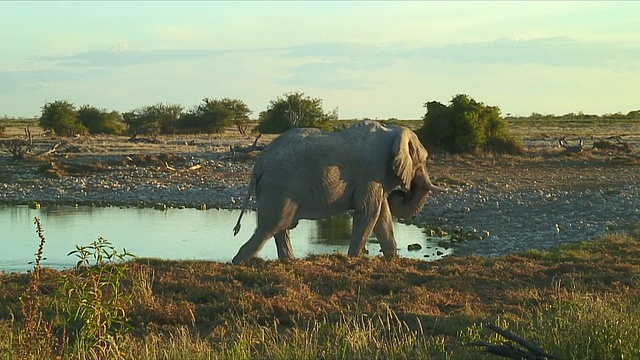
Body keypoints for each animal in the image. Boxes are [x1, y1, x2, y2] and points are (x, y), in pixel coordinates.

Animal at [230, 121, 444, 264]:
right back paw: (237, 263)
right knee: (270, 226)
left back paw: (289, 262)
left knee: (278, 228)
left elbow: (382, 214)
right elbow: (369, 212)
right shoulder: (371, 170)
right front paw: (353, 259)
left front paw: (393, 260)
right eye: (424, 160)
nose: (400, 194)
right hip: (280, 185)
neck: (393, 131)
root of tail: (260, 163)